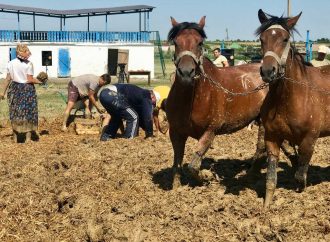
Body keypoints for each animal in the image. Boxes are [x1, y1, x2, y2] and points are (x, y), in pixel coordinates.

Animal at [166, 16, 270, 187]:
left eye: (200, 42)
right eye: (175, 42)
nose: (186, 72)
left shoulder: (210, 131)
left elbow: (193, 165)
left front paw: (207, 176)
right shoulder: (175, 132)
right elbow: (177, 160)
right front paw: (176, 186)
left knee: (261, 146)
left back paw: (250, 175)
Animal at [258, 9, 330, 209]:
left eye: (284, 39)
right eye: (262, 39)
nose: (268, 71)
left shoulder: (309, 140)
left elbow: (300, 176)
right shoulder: (272, 138)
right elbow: (271, 179)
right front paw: (265, 208)